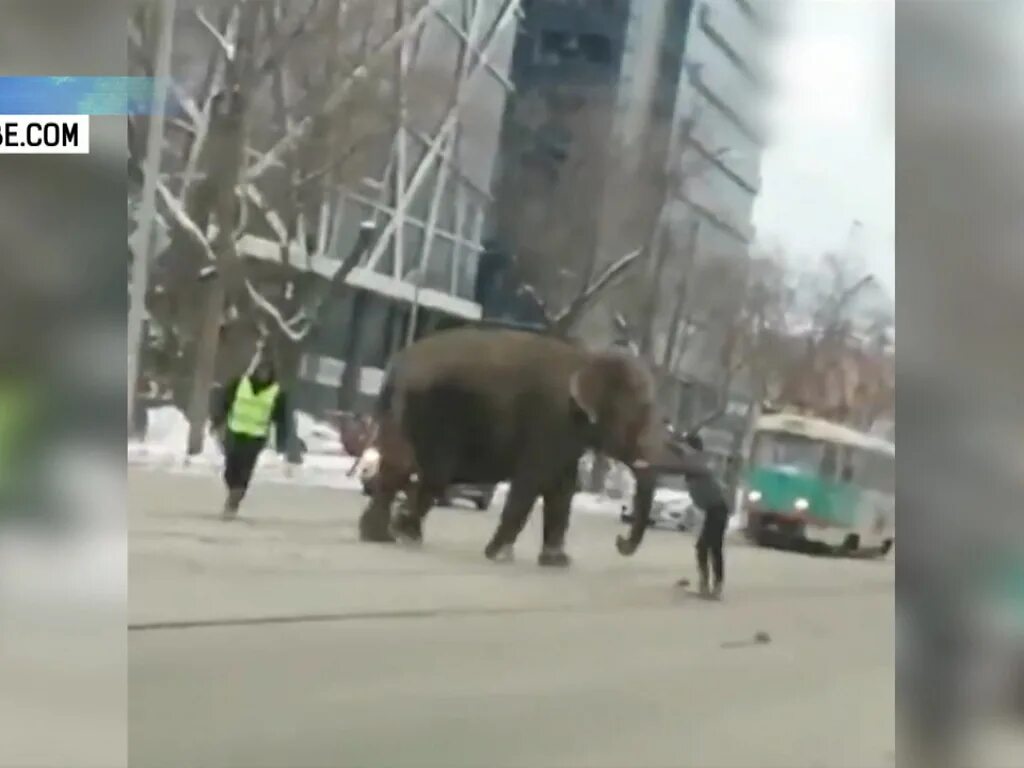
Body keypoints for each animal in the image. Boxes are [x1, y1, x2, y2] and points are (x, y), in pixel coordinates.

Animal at [356, 325, 700, 565]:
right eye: (639, 417)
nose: (619, 541)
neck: (589, 358)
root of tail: (397, 364)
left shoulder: (567, 435)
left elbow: (562, 489)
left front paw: (557, 562)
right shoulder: (550, 419)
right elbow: (532, 481)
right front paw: (498, 555)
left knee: (397, 469)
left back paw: (381, 536)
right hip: (429, 410)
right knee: (429, 473)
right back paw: (403, 533)